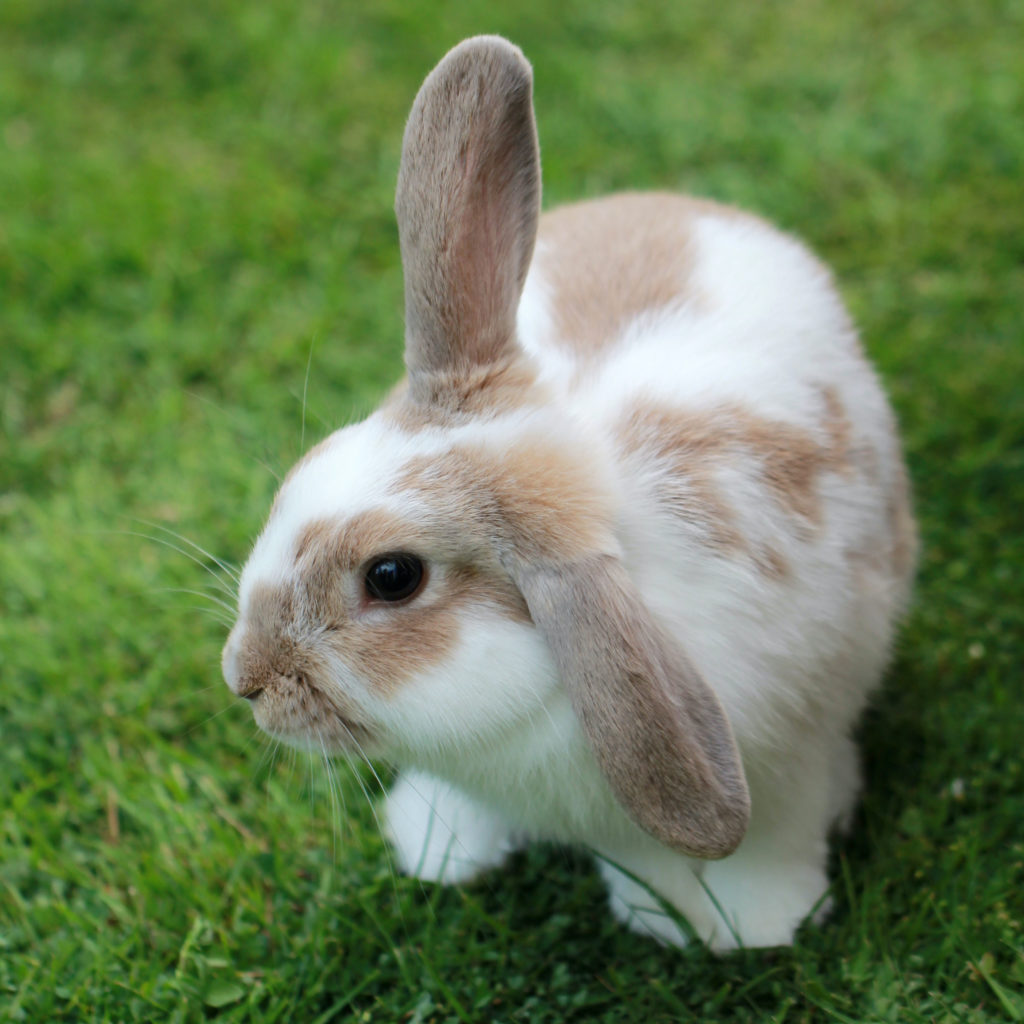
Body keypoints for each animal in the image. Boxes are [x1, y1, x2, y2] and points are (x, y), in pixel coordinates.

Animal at [221, 35, 916, 951]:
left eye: (392, 577)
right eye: (306, 471)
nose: (244, 679)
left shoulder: (784, 760)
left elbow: (768, 842)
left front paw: (757, 924)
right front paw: (441, 848)